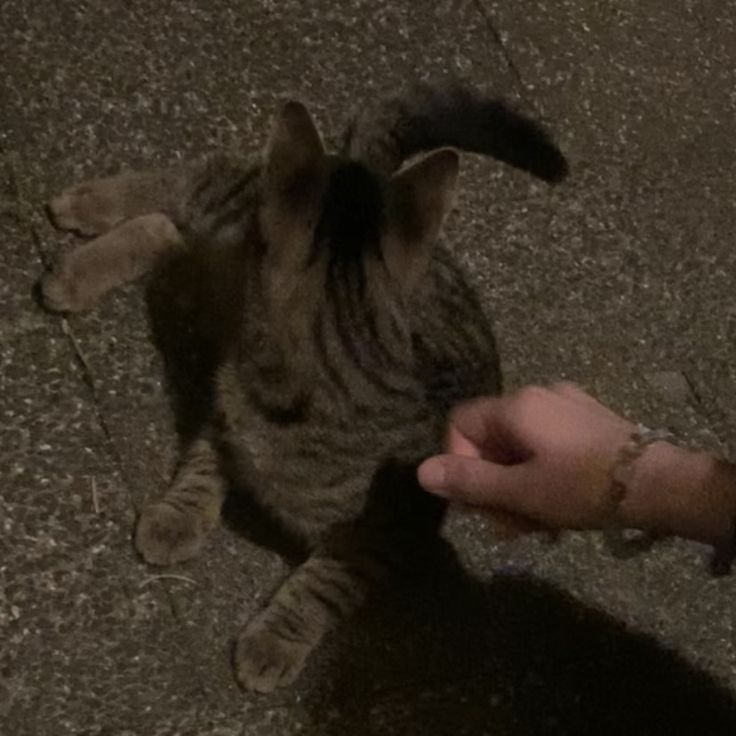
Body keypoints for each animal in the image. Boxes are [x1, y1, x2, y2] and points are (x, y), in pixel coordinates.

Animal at [38, 83, 568, 692]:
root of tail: (361, 167)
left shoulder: (381, 536)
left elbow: (320, 585)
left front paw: (274, 639)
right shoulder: (224, 412)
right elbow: (202, 464)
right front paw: (180, 513)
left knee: (167, 232)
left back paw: (79, 269)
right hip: (232, 203)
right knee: (186, 181)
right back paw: (87, 211)